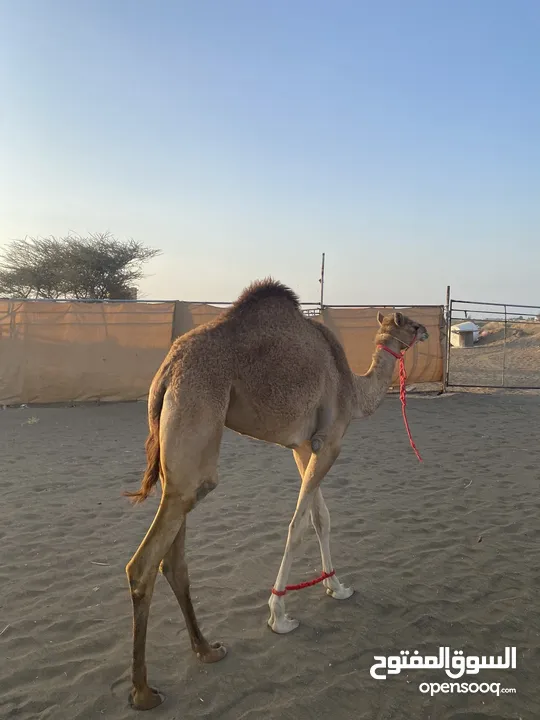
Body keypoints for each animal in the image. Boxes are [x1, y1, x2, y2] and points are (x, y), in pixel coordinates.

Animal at [122, 278, 426, 712]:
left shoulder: (302, 445)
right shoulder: (330, 442)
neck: (352, 387)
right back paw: (144, 691)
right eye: (411, 322)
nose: (426, 330)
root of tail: (167, 371)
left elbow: (320, 517)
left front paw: (337, 586)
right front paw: (279, 613)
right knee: (144, 562)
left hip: (174, 462)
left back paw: (207, 649)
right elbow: (298, 525)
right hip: (196, 430)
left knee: (173, 555)